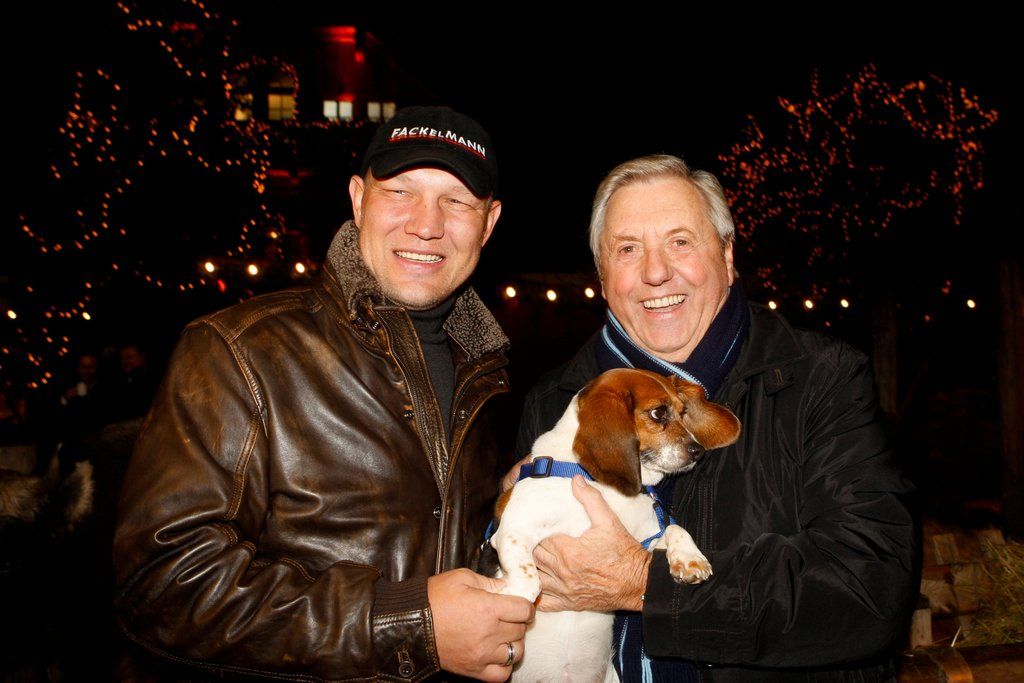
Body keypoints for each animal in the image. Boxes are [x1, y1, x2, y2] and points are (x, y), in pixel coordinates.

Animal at [490, 368, 741, 682]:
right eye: (658, 413)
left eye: (683, 412)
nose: (698, 451)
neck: (600, 483)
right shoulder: (515, 529)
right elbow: (529, 579)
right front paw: (514, 597)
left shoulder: (644, 538)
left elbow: (674, 528)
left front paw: (689, 559)